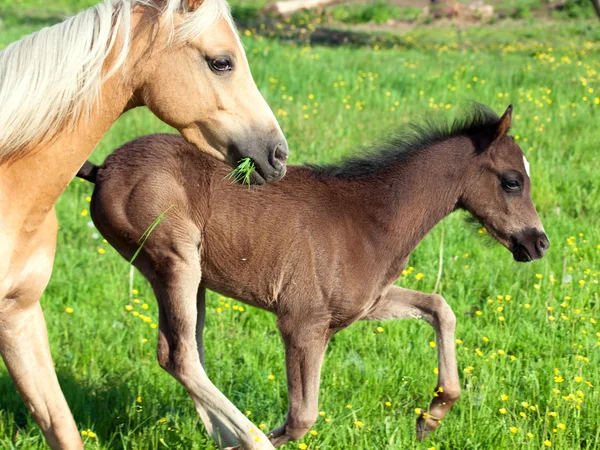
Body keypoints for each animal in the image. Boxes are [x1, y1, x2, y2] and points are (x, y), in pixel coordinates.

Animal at [77, 105, 552, 446]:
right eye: (512, 181)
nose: (539, 243)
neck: (371, 218)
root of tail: (103, 169)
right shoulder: (302, 323)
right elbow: (302, 417)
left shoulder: (364, 304)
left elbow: (440, 307)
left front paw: (430, 417)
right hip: (175, 262)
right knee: (180, 356)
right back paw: (245, 438)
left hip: (189, 278)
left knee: (185, 350)